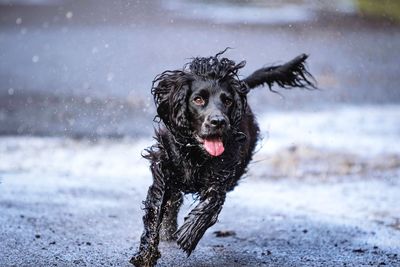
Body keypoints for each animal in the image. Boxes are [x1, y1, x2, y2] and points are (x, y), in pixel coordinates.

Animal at [130, 49, 314, 266]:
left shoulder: (223, 173)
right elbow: (156, 209)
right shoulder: (163, 170)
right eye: (198, 100)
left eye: (227, 101)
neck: (196, 152)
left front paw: (189, 233)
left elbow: (212, 202)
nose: (218, 121)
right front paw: (145, 255)